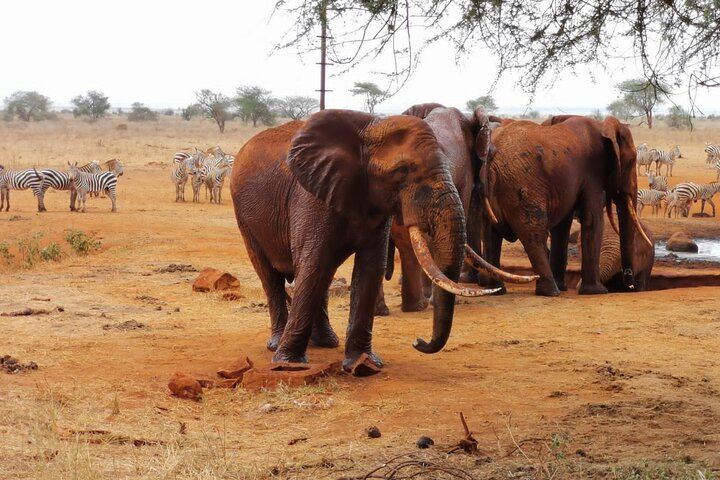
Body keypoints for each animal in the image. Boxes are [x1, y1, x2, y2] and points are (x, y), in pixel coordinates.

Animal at [228, 109, 504, 372]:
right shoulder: (310, 197)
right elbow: (313, 261)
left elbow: (370, 267)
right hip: (244, 216)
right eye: (402, 171)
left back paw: (327, 343)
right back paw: (279, 345)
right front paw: (288, 365)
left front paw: (364, 366)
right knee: (272, 274)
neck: (371, 128)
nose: (418, 342)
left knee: (322, 274)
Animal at [484, 116, 652, 296]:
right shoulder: (592, 173)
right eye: (632, 161)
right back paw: (552, 291)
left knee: (491, 234)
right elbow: (593, 220)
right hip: (522, 185)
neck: (602, 126)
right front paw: (597, 291)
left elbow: (562, 226)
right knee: (534, 233)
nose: (629, 283)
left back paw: (497, 290)